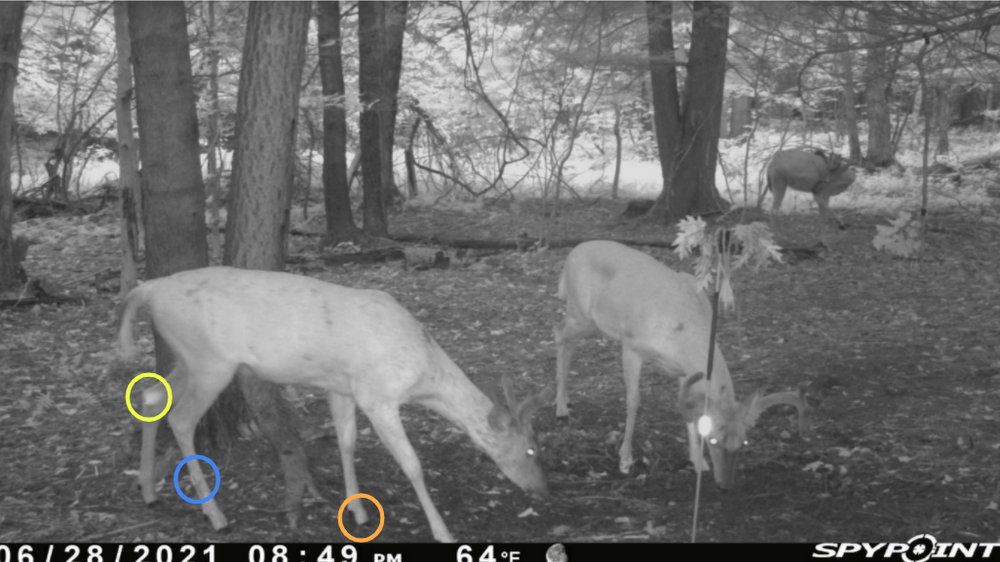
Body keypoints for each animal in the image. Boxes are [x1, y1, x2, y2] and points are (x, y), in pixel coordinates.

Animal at [118, 266, 553, 543]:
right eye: (531, 449)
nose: (542, 489)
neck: (422, 370)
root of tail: (148, 289)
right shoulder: (378, 395)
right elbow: (412, 463)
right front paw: (443, 532)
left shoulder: (341, 387)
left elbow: (346, 441)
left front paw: (357, 512)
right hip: (209, 361)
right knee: (181, 418)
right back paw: (216, 516)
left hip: (189, 358)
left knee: (151, 395)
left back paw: (148, 489)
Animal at [553, 240, 810, 489]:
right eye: (714, 439)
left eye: (743, 442)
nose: (725, 484)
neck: (682, 328)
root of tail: (573, 253)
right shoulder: (631, 345)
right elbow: (633, 401)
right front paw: (625, 459)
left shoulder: (684, 370)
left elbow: (690, 412)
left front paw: (698, 461)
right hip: (580, 312)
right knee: (560, 334)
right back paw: (561, 407)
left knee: (565, 338)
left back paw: (564, 399)